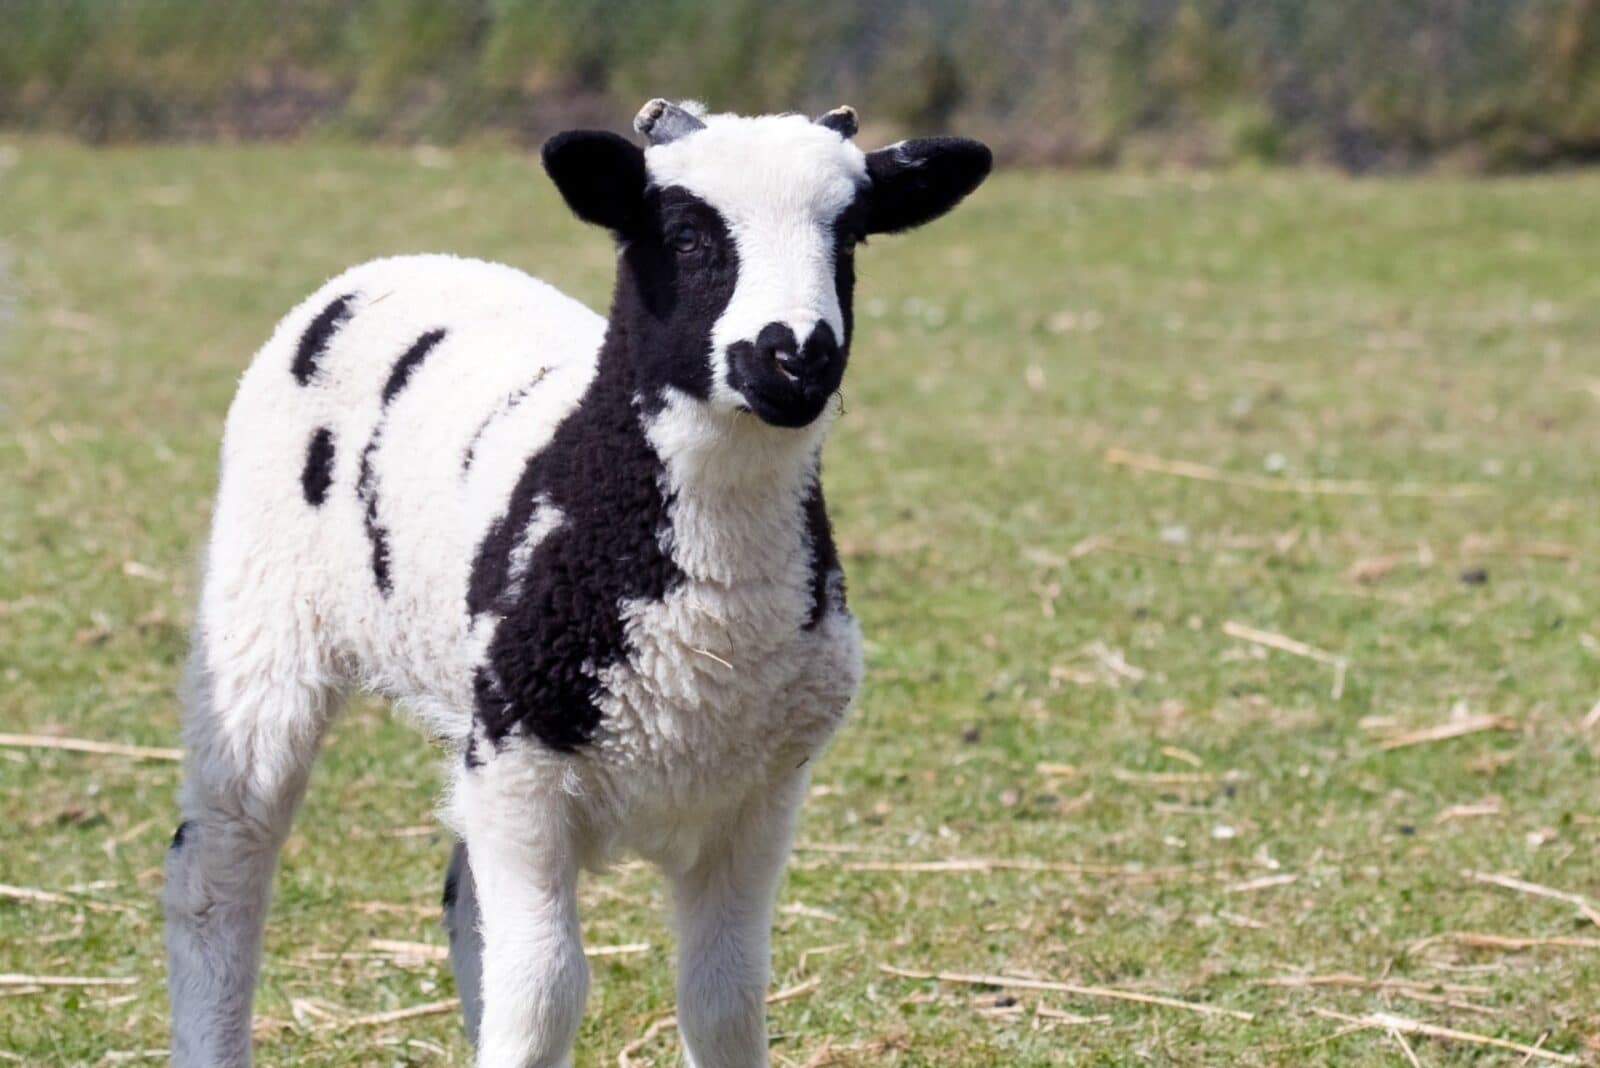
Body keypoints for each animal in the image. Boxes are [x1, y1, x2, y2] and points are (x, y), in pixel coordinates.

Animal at [164, 99, 991, 1068]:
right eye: (686, 234)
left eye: (850, 235)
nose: (797, 357)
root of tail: (395, 266)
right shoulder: (523, 768)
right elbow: (546, 992)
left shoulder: (756, 795)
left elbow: (724, 997)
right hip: (262, 614)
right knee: (221, 864)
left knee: (466, 910)